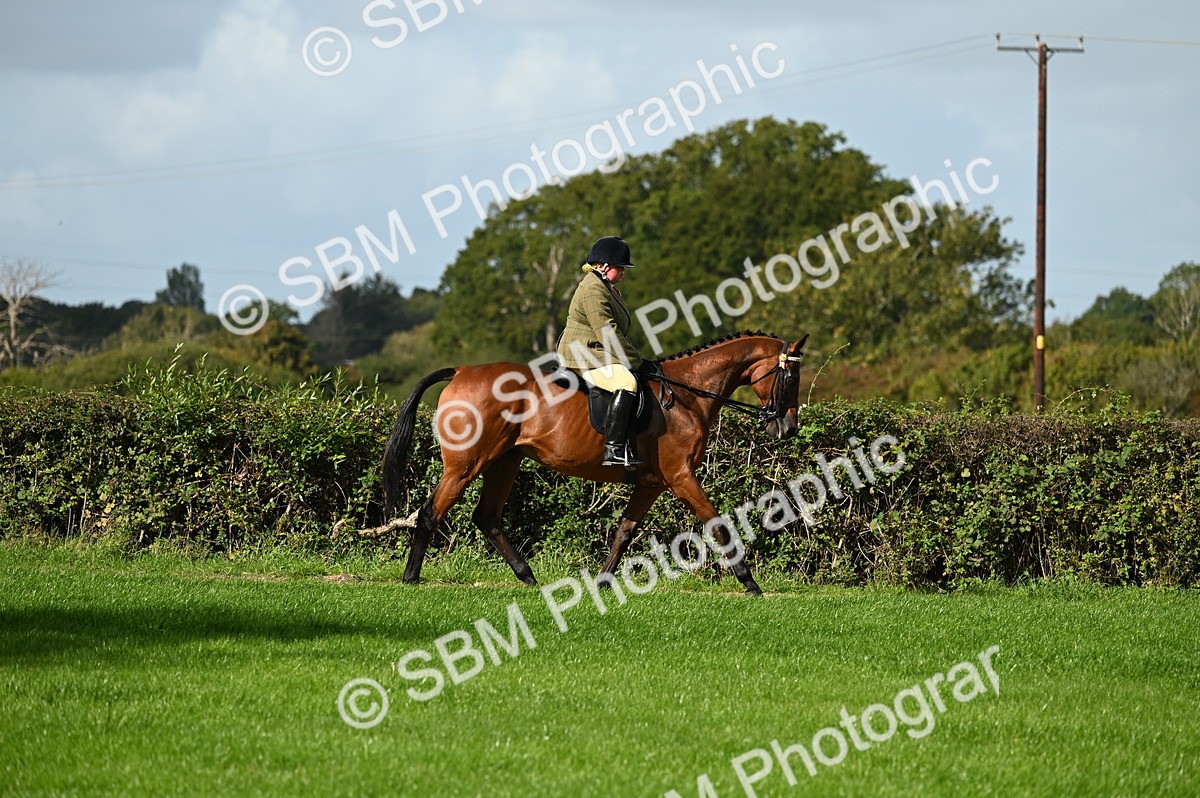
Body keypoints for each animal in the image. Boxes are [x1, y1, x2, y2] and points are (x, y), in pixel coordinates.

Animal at [381, 331, 808, 595]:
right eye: (791, 377)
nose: (787, 428)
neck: (688, 395)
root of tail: (461, 371)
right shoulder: (682, 477)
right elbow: (718, 525)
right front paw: (750, 582)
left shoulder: (651, 484)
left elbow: (624, 531)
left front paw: (602, 582)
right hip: (466, 465)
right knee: (431, 512)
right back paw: (411, 577)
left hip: (505, 462)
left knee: (487, 518)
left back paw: (528, 577)